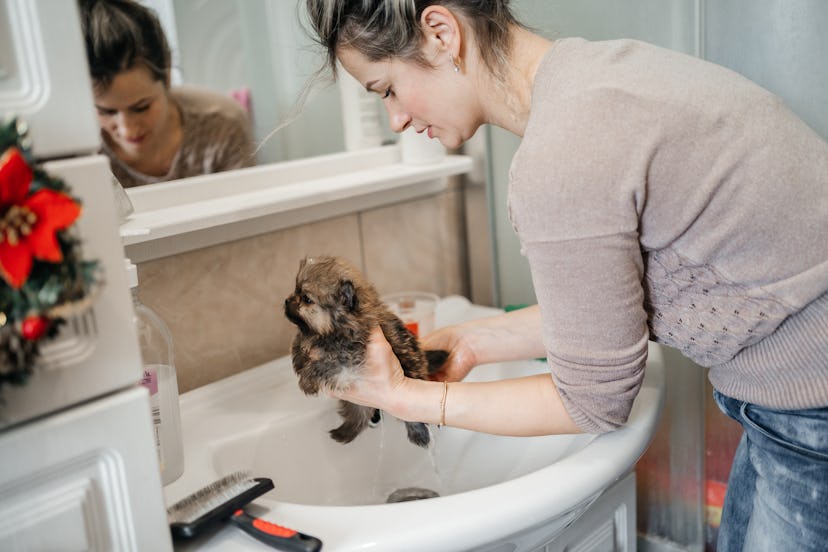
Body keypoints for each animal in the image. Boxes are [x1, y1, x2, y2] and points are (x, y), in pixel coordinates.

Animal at [286, 256, 450, 448]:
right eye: (295, 290)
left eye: (306, 298)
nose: (287, 301)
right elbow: (299, 344)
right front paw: (299, 359)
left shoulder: (349, 357)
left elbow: (325, 364)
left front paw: (307, 381)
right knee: (359, 415)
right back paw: (344, 432)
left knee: (410, 417)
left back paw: (419, 434)